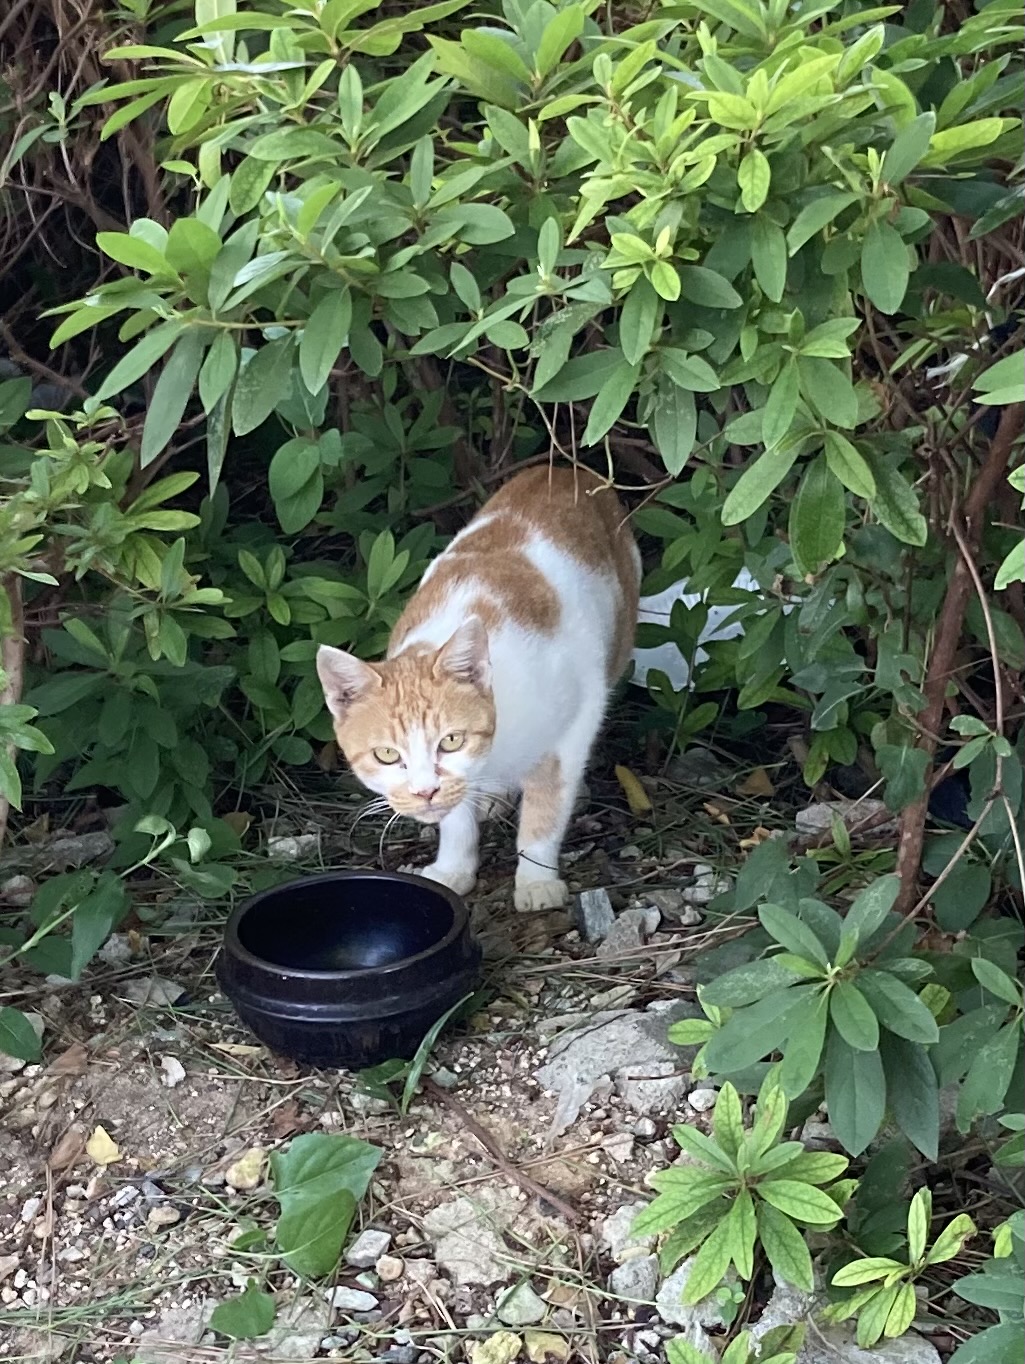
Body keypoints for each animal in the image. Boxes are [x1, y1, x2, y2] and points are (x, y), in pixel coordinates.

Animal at [316, 465, 640, 911]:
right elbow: (455, 816)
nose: (424, 792)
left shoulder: (576, 717)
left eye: (451, 741)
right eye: (387, 755)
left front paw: (536, 879)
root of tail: (558, 468)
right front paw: (455, 866)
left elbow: (547, 806)